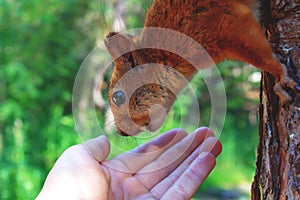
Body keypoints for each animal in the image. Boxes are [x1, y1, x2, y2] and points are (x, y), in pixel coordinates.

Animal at [104, 0, 296, 136]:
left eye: (118, 97)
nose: (121, 133)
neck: (162, 53)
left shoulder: (225, 25)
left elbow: (259, 53)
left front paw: (280, 75)